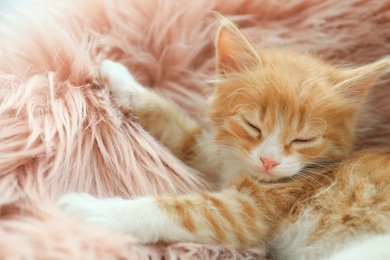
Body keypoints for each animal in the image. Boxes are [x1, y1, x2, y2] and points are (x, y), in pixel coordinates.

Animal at [57, 17, 390, 258]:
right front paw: (123, 80)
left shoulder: (252, 208)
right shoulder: (225, 150)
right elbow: (188, 135)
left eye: (304, 139)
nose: (268, 162)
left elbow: (186, 211)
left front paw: (91, 211)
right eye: (252, 125)